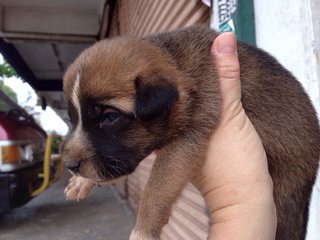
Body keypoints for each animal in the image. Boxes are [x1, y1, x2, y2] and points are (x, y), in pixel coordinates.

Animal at [62, 25, 320, 239]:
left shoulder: (187, 138)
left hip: (286, 194)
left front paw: (142, 231)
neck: (175, 62)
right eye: (73, 118)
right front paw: (82, 181)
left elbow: (156, 190)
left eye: (110, 117)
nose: (69, 165)